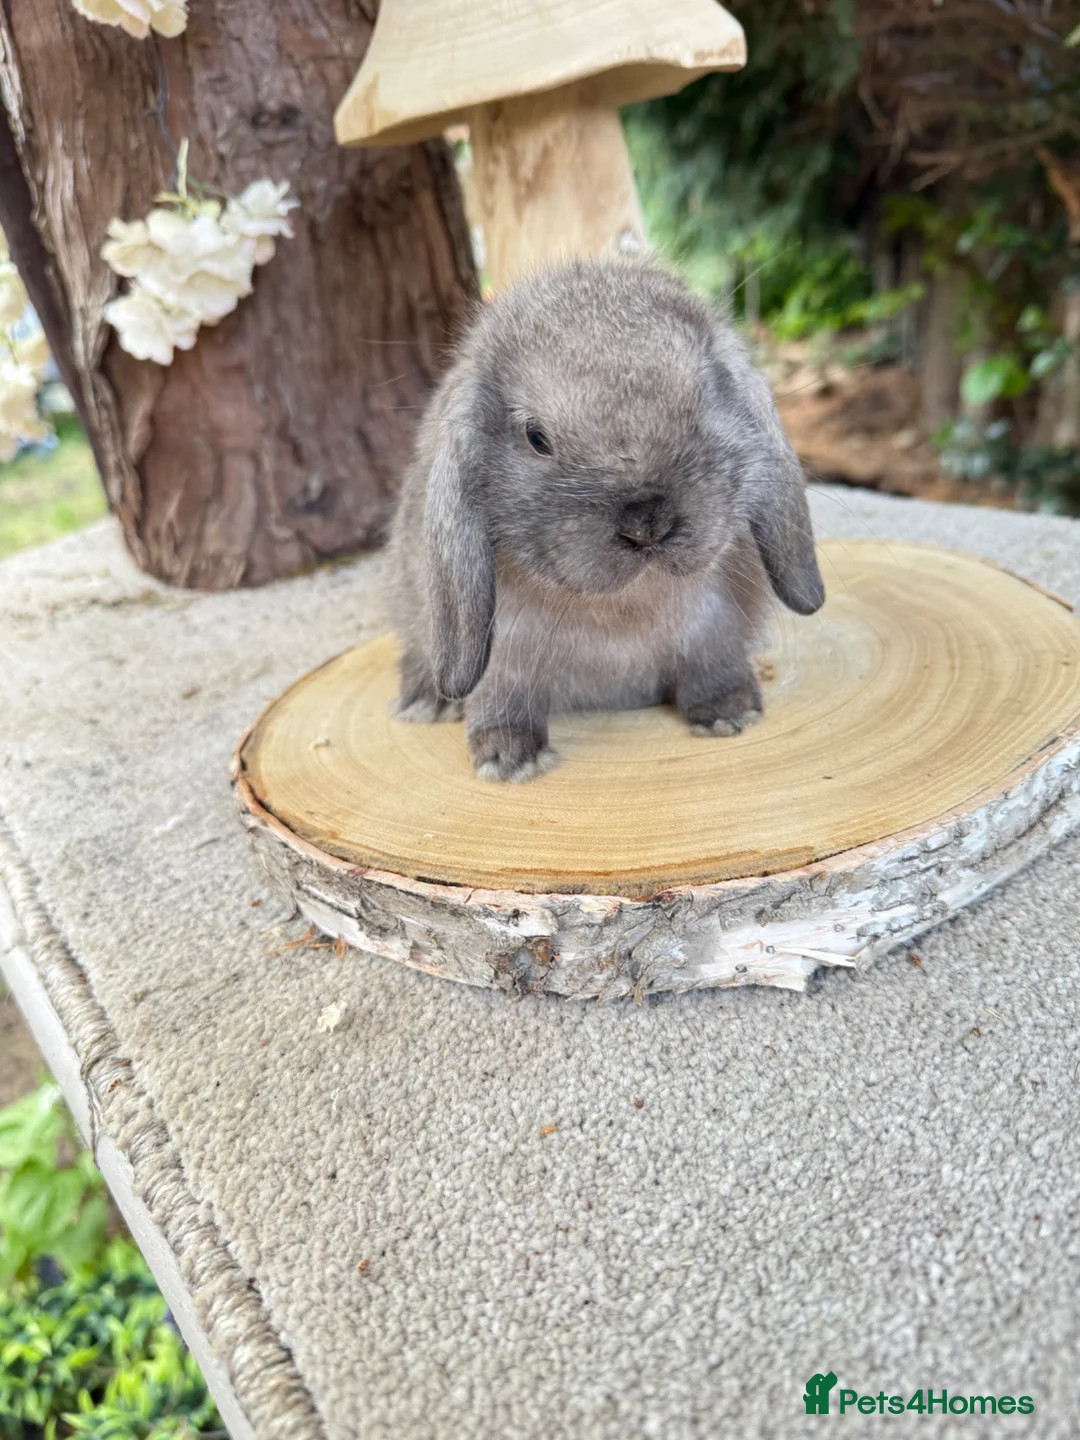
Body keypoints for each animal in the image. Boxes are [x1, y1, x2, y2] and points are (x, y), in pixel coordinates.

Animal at [384, 255, 825, 783]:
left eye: (705, 398)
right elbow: (500, 701)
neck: (622, 608)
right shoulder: (502, 657)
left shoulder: (712, 627)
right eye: (536, 437)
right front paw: (509, 760)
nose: (647, 522)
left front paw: (729, 713)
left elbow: (711, 668)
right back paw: (426, 703)